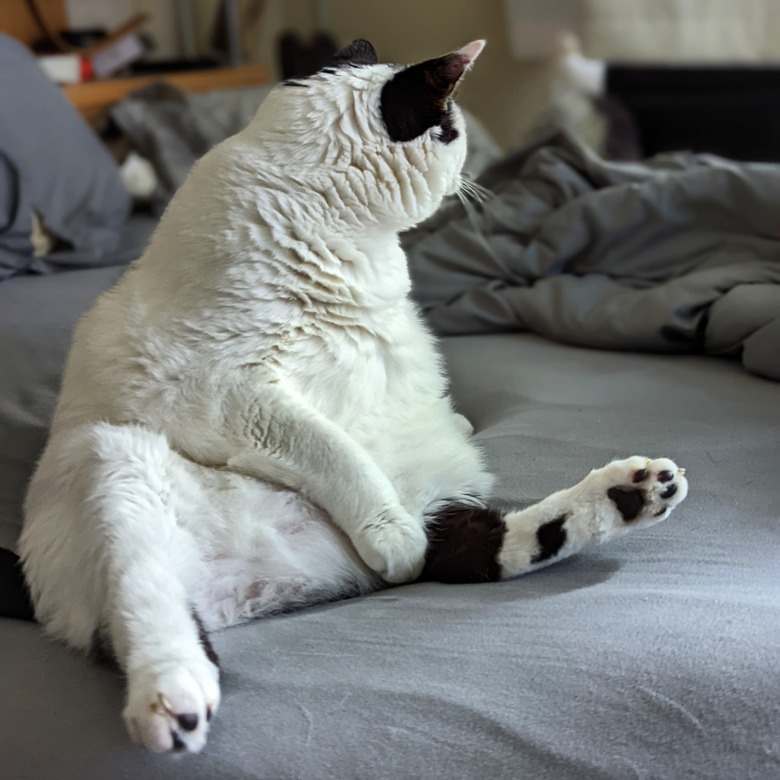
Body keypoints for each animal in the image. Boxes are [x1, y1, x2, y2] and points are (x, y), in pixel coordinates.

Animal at [19, 39, 688, 752]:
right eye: (453, 131)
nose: (474, 170)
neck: (321, 209)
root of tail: (287, 584)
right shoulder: (233, 393)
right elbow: (334, 451)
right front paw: (388, 530)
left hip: (437, 490)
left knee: (486, 547)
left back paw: (637, 490)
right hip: (114, 467)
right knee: (146, 608)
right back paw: (177, 703)